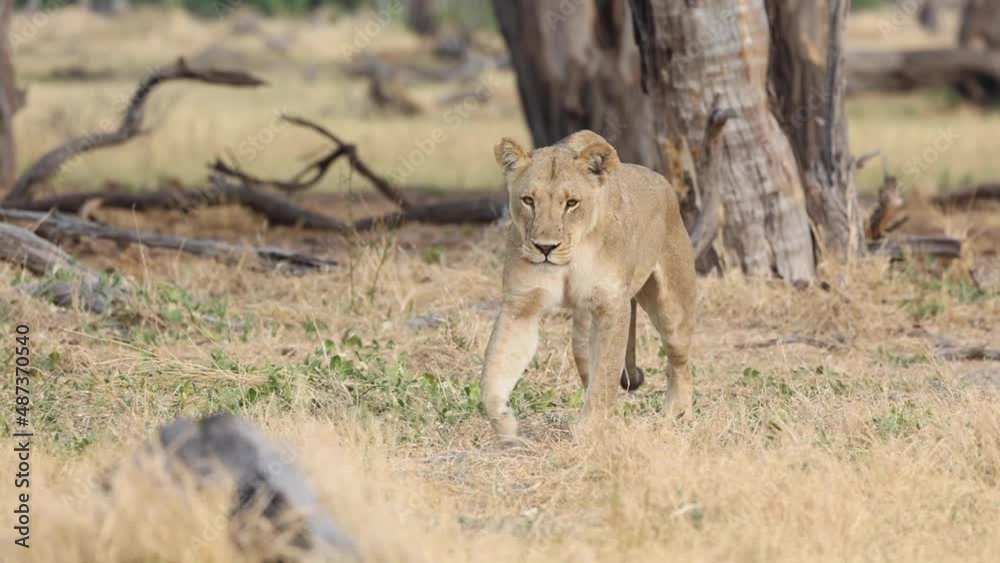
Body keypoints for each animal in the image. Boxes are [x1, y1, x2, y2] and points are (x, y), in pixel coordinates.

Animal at [480, 130, 700, 444]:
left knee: (681, 363)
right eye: (528, 200)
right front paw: (506, 427)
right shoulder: (520, 306)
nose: (545, 247)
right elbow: (493, 373)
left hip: (673, 309)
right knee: (590, 370)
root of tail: (663, 182)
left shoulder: (612, 306)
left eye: (571, 203)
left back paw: (677, 416)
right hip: (582, 336)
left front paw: (591, 431)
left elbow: (605, 376)